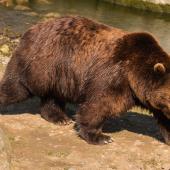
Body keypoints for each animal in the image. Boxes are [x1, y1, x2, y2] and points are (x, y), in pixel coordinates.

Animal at [0, 15, 170, 144]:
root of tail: (31, 29)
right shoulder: (113, 75)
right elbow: (99, 105)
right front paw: (101, 136)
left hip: (58, 74)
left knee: (52, 97)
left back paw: (60, 118)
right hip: (41, 62)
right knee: (16, 87)